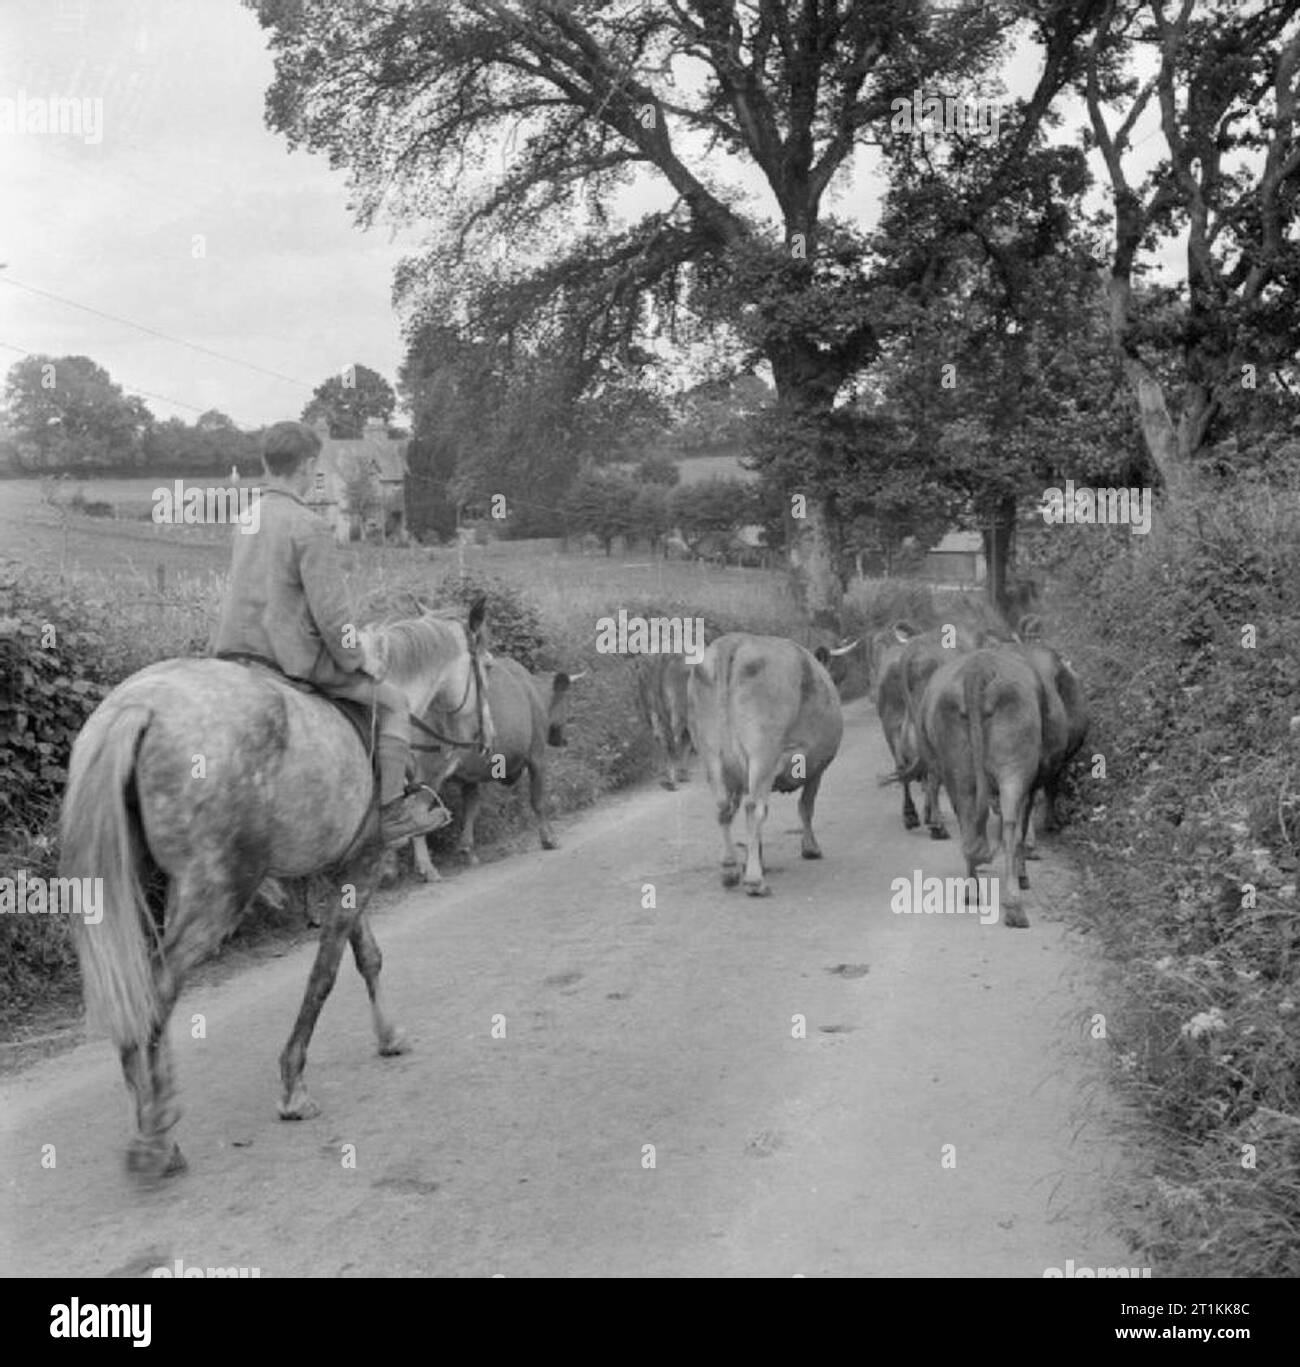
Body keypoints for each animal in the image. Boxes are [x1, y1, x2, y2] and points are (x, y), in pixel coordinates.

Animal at [401, 656, 574, 880]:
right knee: (417, 812)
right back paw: (427, 869)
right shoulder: (537, 755)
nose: (564, 739)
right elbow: (538, 801)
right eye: (565, 701)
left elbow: (471, 809)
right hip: (430, 770)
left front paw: (468, 850)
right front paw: (549, 839)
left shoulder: (469, 775)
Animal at [686, 631, 847, 896]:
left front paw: (758, 860)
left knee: (724, 807)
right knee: (754, 808)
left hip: (710, 754)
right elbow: (806, 807)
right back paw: (755, 881)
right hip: (763, 751)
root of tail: (732, 642)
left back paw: (730, 870)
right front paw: (810, 848)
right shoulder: (817, 767)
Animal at [918, 647, 1049, 929]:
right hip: (1015, 763)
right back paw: (1013, 901)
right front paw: (1023, 874)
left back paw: (976, 893)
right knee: (1010, 825)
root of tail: (977, 669)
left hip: (958, 768)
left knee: (970, 821)